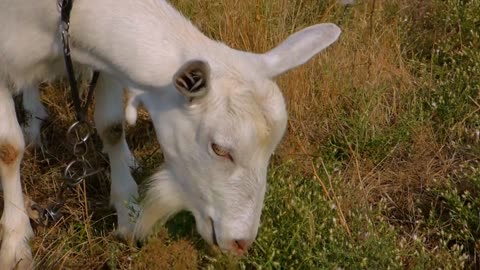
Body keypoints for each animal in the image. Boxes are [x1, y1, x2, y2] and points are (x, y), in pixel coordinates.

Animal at [0, 0, 342, 268]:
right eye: (219, 148)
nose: (241, 242)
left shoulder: (104, 61)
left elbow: (111, 126)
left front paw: (128, 214)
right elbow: (9, 148)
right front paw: (16, 244)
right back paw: (34, 122)